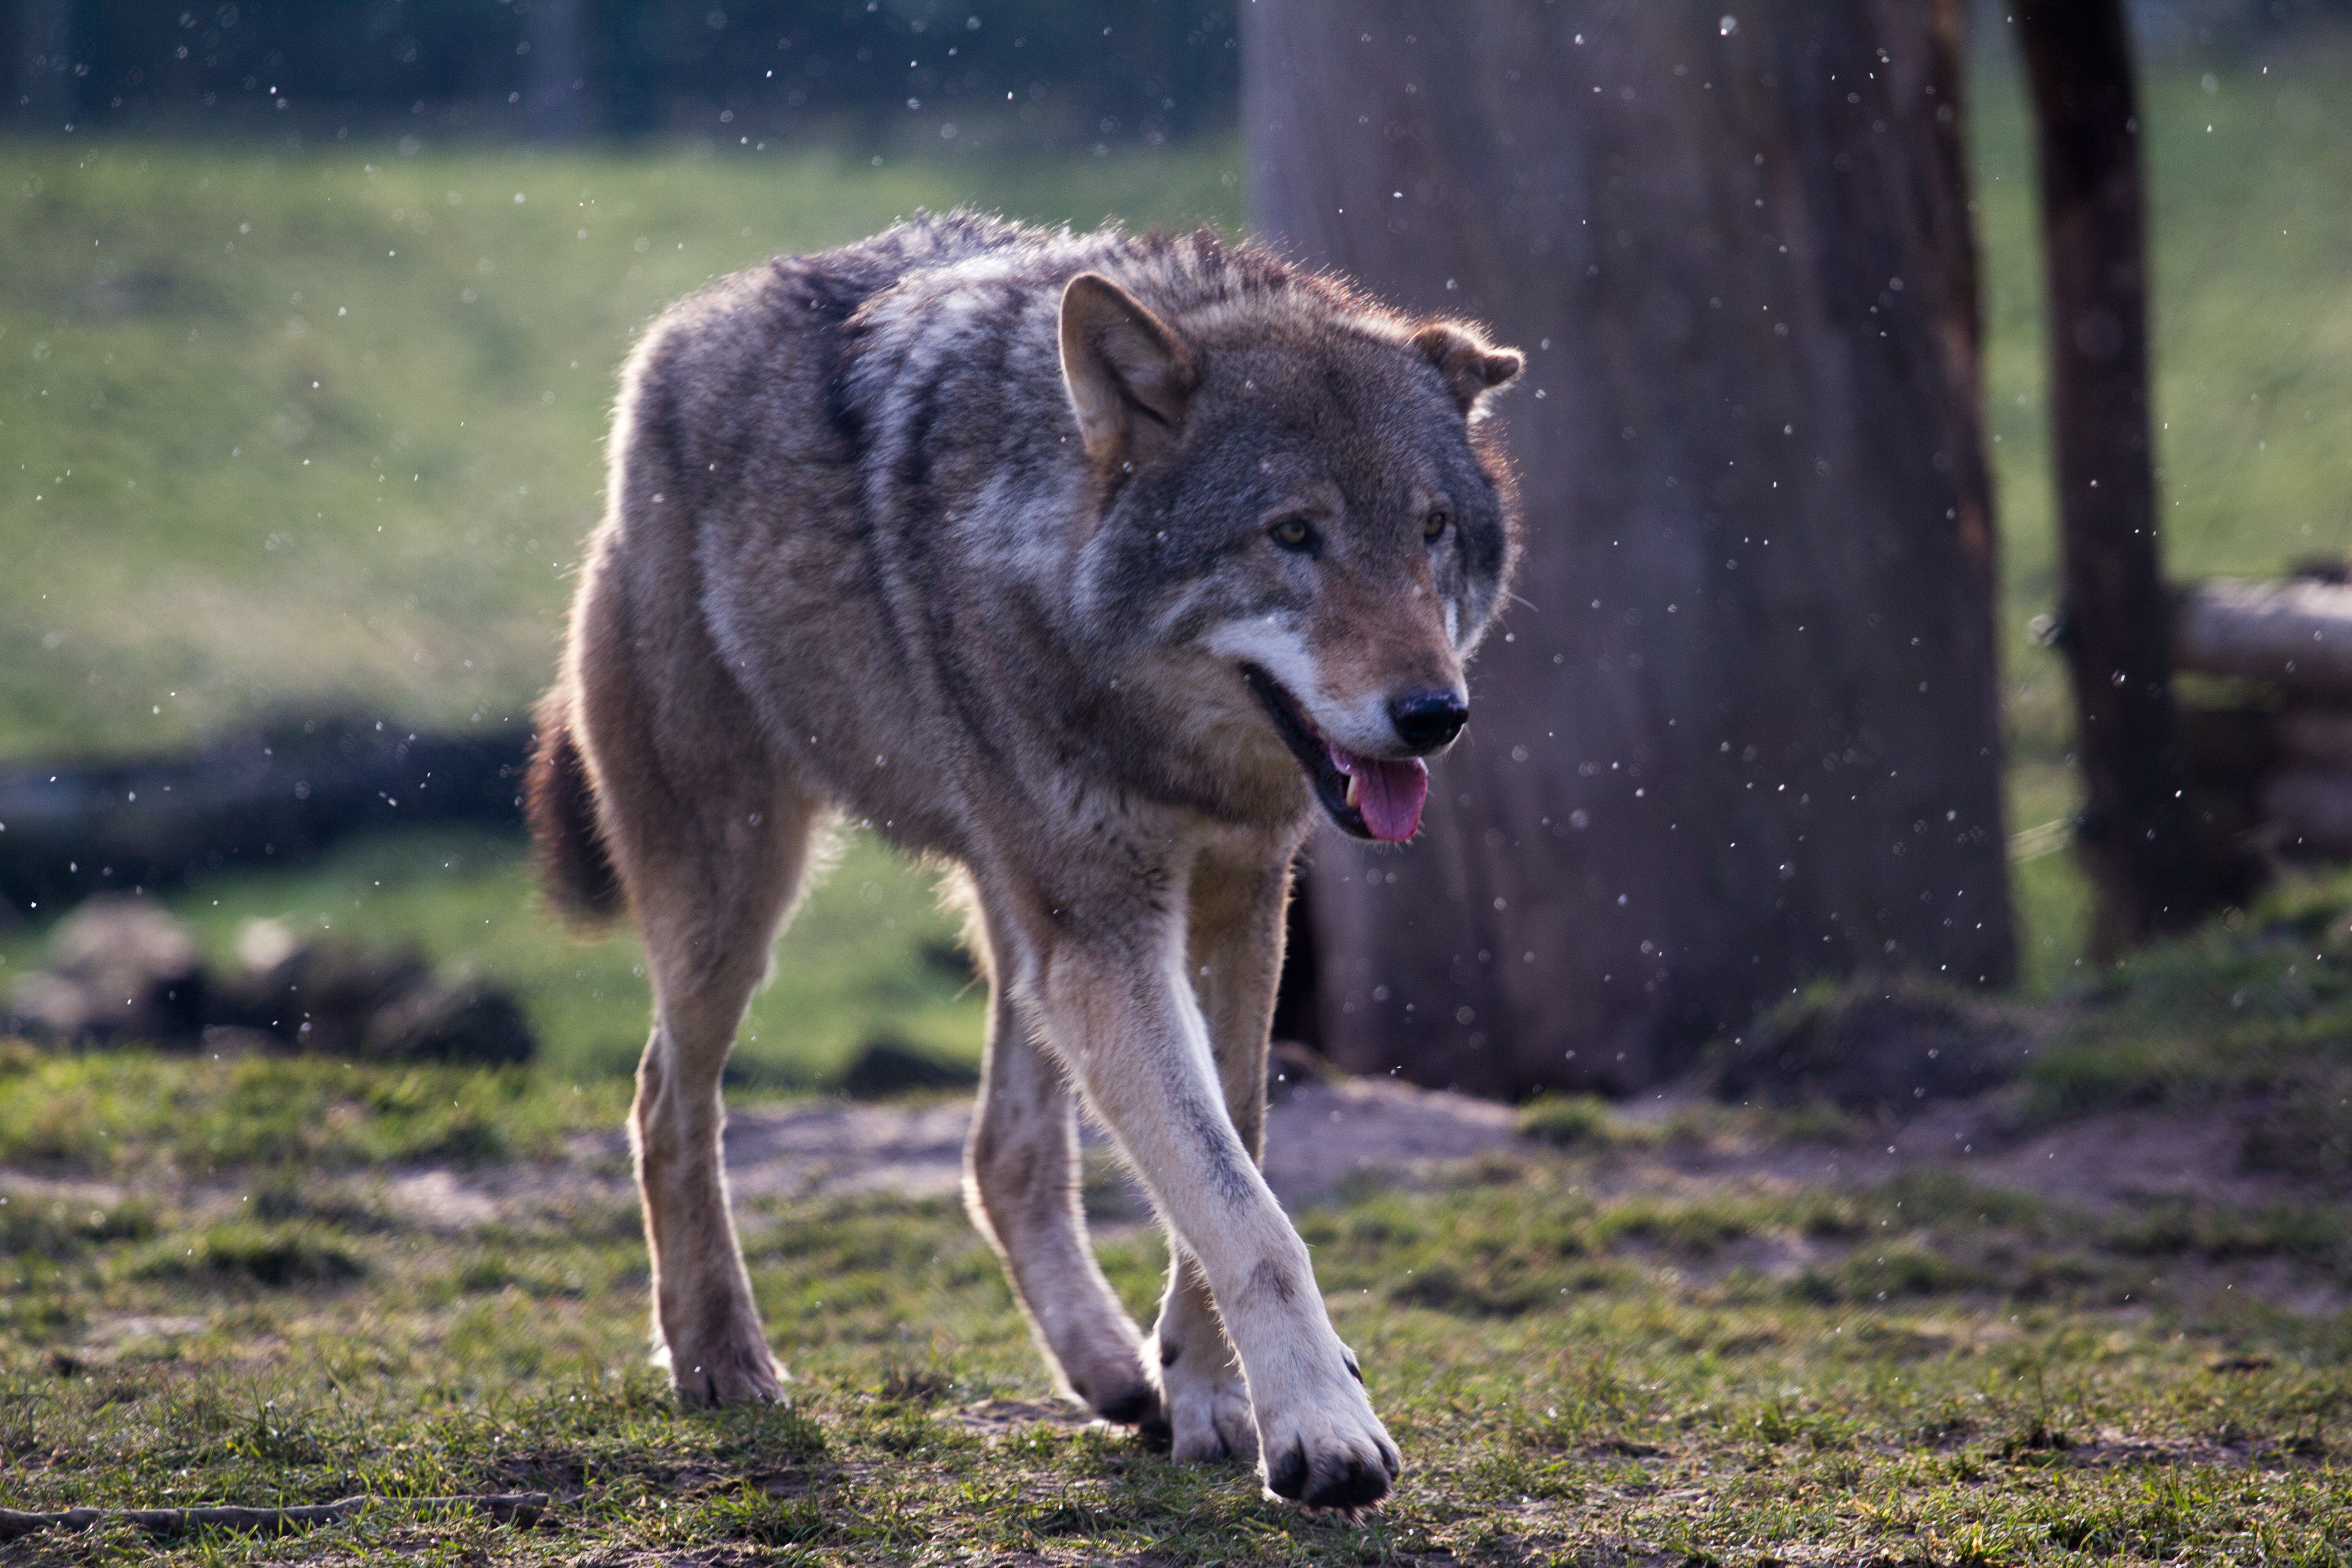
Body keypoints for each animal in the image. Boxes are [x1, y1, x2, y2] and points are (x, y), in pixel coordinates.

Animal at [527, 215, 1524, 1514]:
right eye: (1292, 535)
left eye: (1430, 530)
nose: (1434, 715)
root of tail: (680, 331)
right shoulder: (1107, 936)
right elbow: (1246, 1212)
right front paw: (1319, 1426)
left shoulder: (1239, 902)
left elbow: (1234, 1156)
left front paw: (1212, 1394)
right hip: (744, 900)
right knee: (664, 1099)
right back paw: (719, 1357)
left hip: (1015, 916)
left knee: (1000, 1154)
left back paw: (1112, 1374)